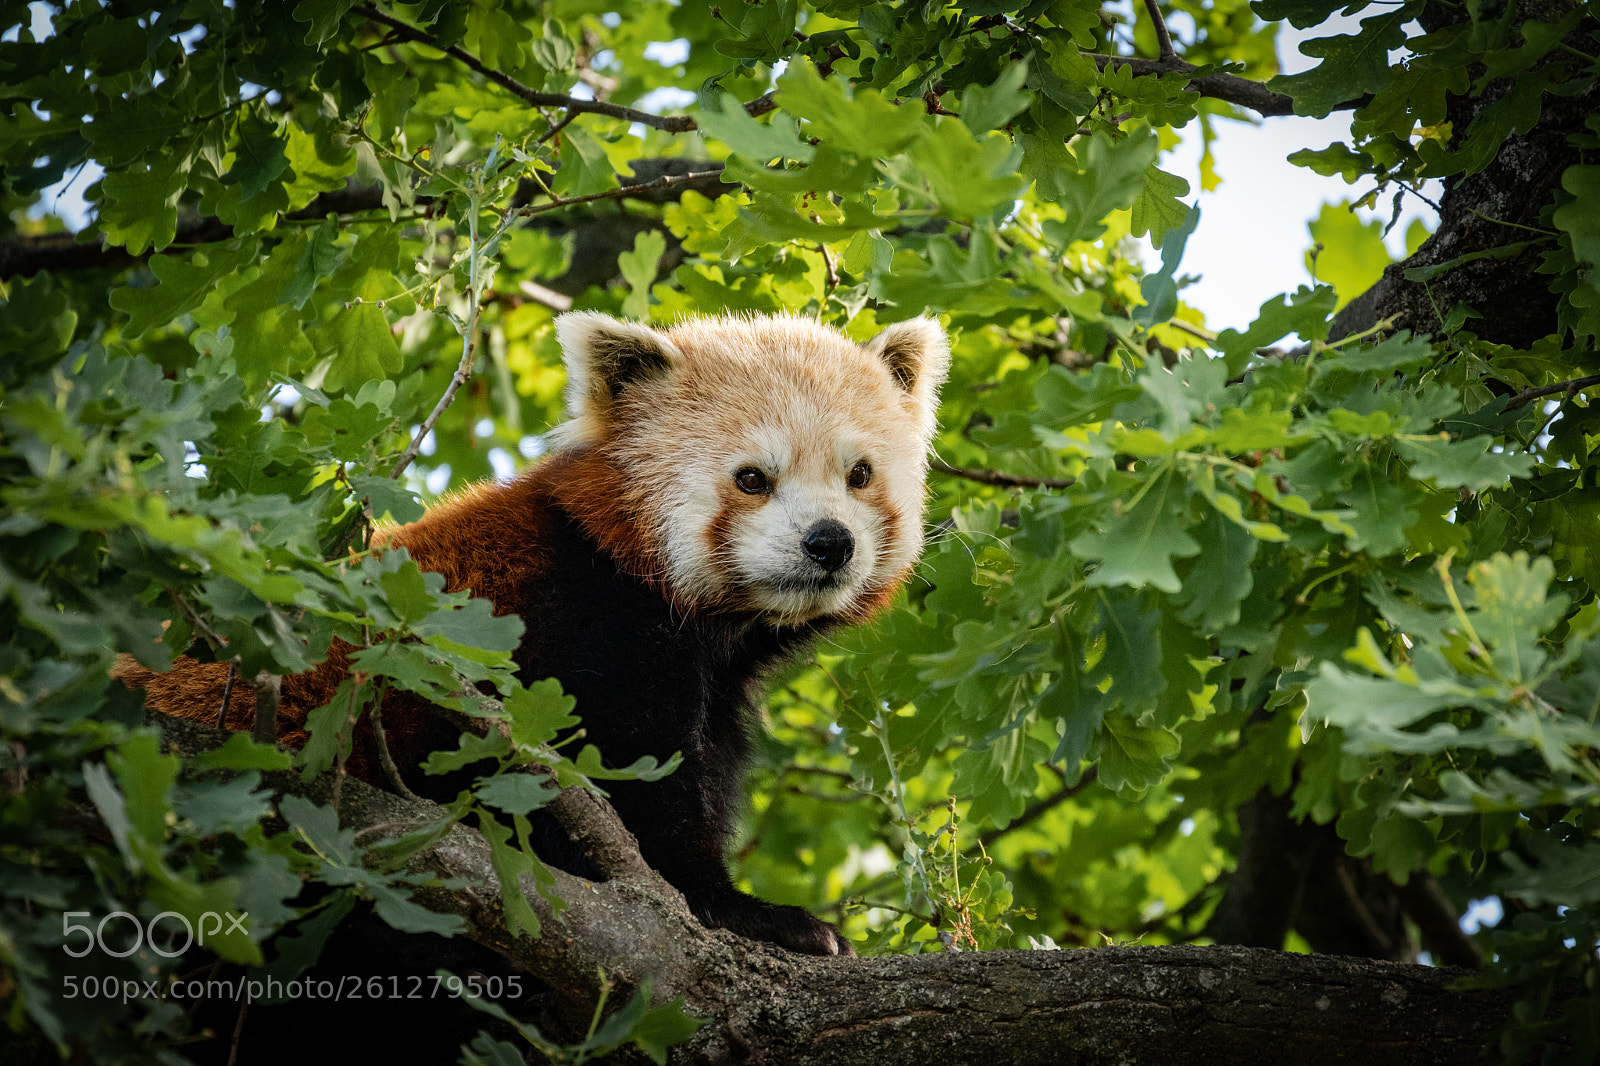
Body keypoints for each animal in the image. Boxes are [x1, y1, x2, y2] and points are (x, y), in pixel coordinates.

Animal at [121, 310, 950, 959]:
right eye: (752, 479)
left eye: (859, 475)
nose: (829, 542)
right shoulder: (577, 642)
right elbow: (638, 802)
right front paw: (750, 914)